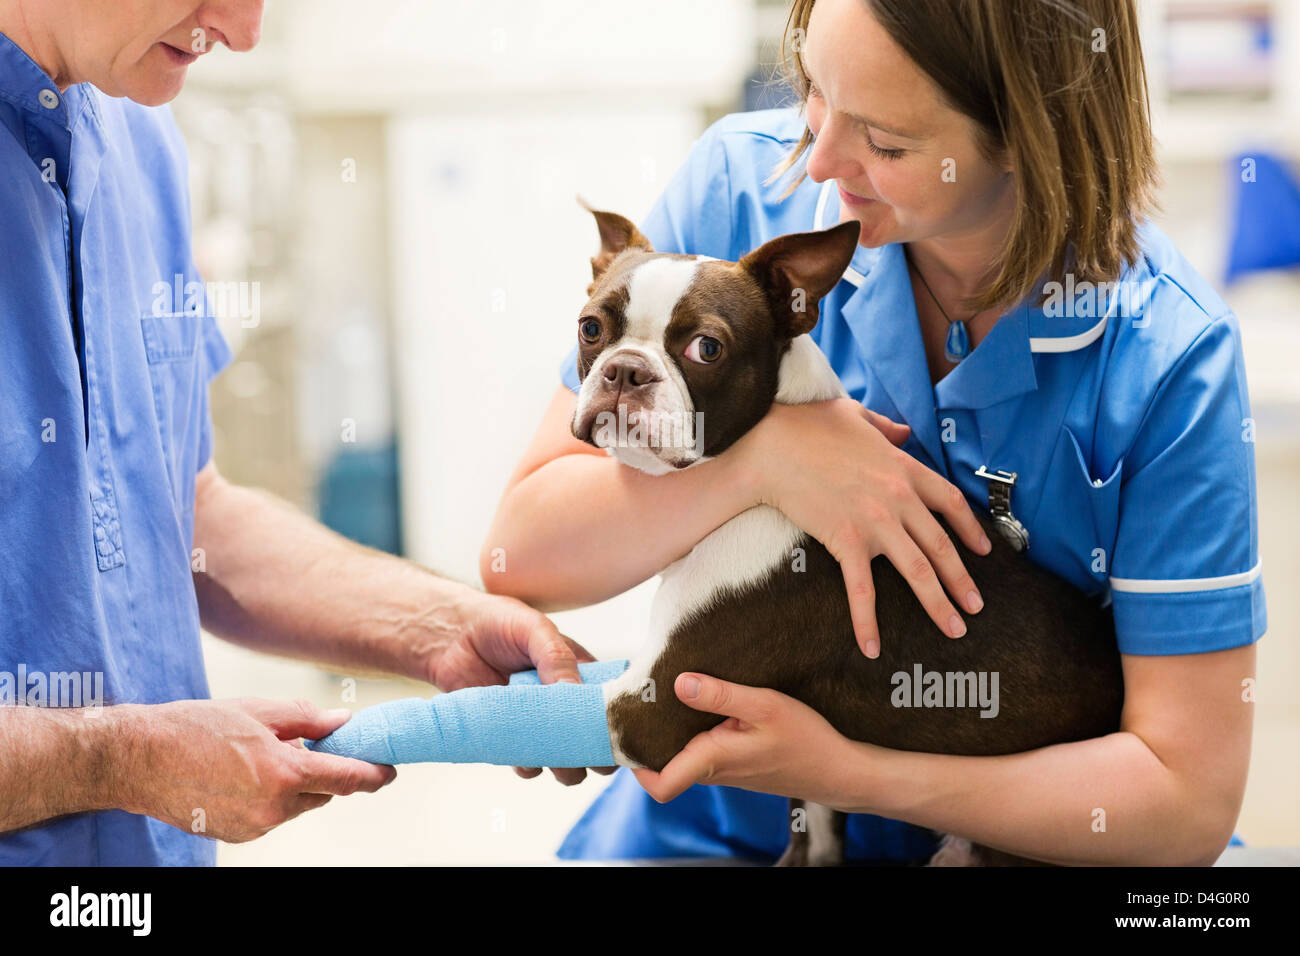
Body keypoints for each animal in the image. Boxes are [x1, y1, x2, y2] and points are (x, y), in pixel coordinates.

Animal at [569, 204, 1128, 868]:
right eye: (590, 328)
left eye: (707, 348)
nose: (626, 370)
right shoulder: (812, 805)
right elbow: (813, 837)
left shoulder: (650, 707)